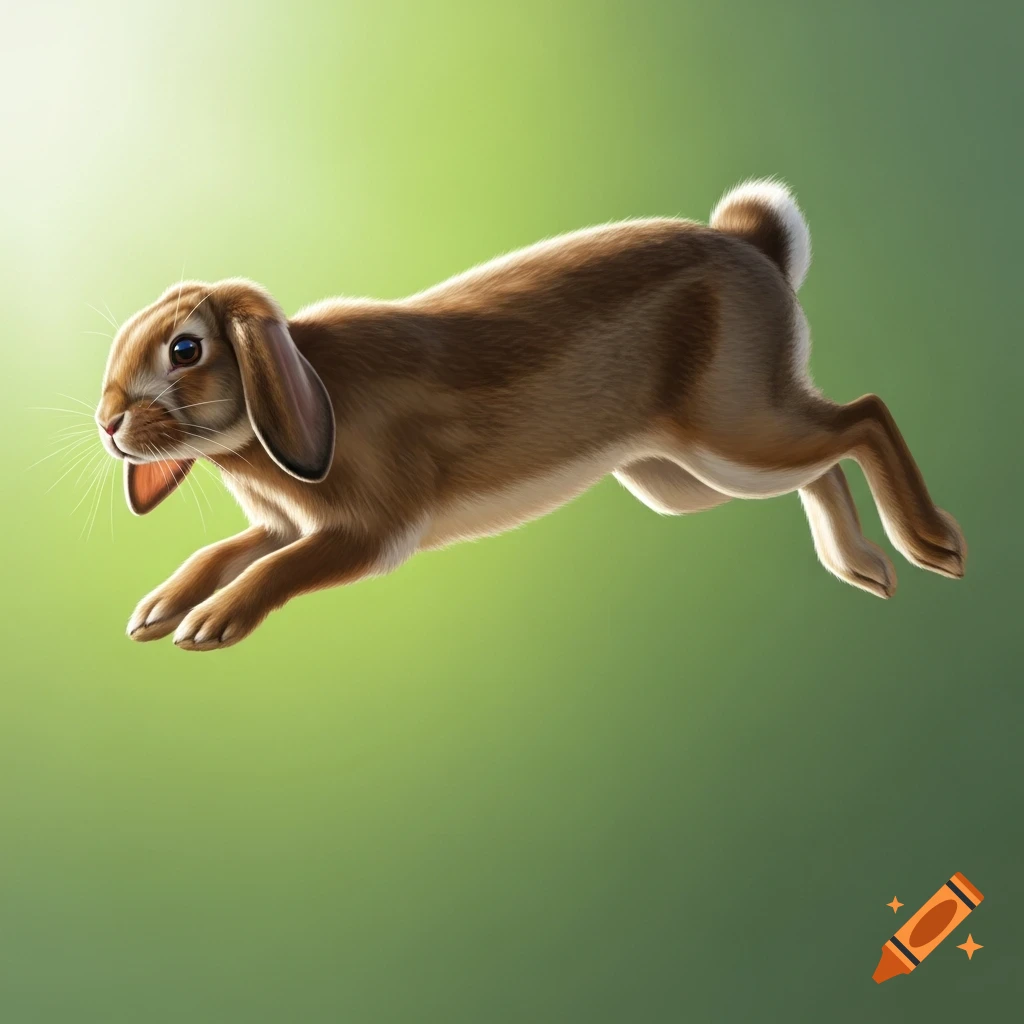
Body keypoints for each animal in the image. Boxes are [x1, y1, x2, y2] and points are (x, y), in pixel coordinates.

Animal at [95, 179, 965, 651]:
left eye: (185, 349)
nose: (107, 423)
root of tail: (755, 250)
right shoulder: (285, 522)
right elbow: (225, 550)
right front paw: (157, 610)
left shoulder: (368, 532)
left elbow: (275, 568)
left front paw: (210, 625)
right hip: (682, 479)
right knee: (822, 458)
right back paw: (862, 567)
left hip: (728, 434)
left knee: (863, 417)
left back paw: (932, 546)